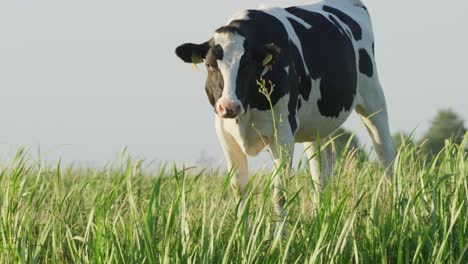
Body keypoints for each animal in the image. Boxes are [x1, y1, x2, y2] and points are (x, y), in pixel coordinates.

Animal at [175, 0, 394, 233]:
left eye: (247, 65)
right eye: (210, 65)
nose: (229, 106)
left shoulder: (283, 133)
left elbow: (279, 193)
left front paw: (279, 237)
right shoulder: (225, 134)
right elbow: (239, 189)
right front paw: (243, 234)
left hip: (373, 97)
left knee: (385, 153)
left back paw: (394, 207)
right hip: (316, 125)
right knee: (321, 169)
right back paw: (318, 218)